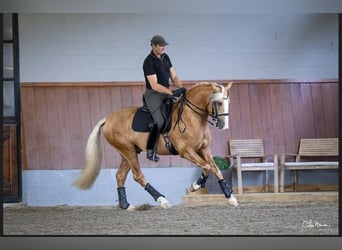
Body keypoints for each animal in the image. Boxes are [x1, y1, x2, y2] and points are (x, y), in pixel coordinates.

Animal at [73, 81, 238, 209]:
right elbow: (207, 167)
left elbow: (215, 169)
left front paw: (230, 198)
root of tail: (108, 119)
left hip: (128, 152)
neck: (192, 117)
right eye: (218, 102)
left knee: (120, 176)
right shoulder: (186, 151)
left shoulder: (204, 149)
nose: (224, 126)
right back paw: (162, 200)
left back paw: (126, 205)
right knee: (138, 176)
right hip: (128, 151)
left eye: (229, 103)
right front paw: (194, 187)